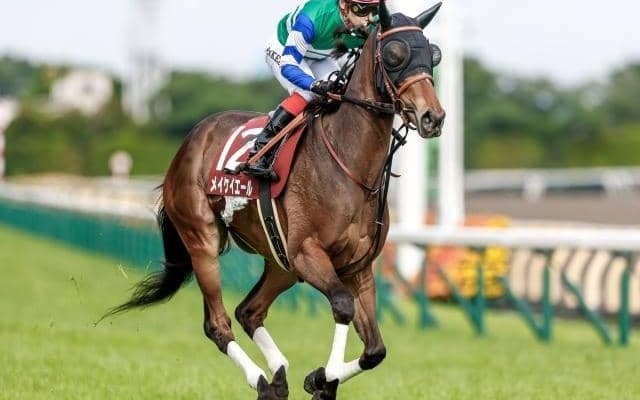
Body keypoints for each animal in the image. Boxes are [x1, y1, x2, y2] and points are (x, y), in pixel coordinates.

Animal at [106, 2, 445, 399]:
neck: (350, 166)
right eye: (394, 55)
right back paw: (264, 381)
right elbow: (342, 306)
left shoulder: (357, 266)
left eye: (433, 55)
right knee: (218, 323)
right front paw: (324, 379)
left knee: (249, 311)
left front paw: (319, 378)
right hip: (204, 240)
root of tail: (191, 140)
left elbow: (376, 349)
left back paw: (279, 374)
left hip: (281, 263)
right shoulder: (308, 253)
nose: (433, 117)